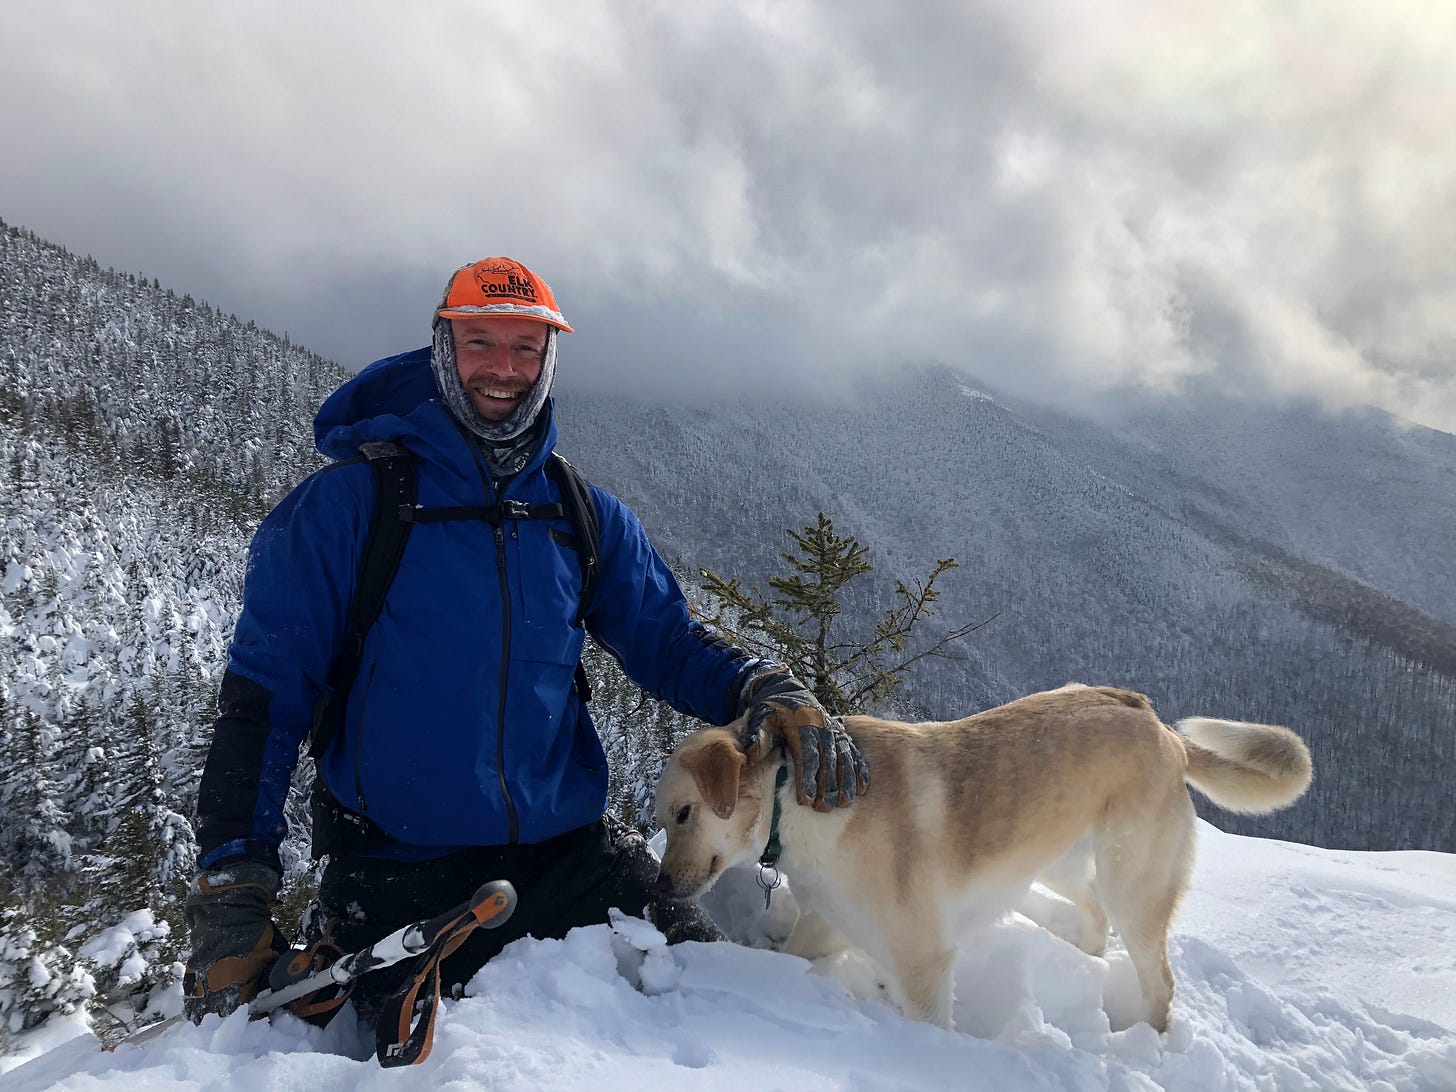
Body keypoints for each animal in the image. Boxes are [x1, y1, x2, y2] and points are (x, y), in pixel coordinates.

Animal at [655, 684, 1316, 1036]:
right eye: (664, 819)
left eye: (683, 814)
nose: (660, 888)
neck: (793, 796)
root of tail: (1159, 727)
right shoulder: (826, 924)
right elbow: (794, 955)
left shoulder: (924, 964)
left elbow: (929, 1023)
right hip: (1060, 862)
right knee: (1095, 914)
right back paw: (1084, 962)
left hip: (1134, 886)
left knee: (1160, 981)